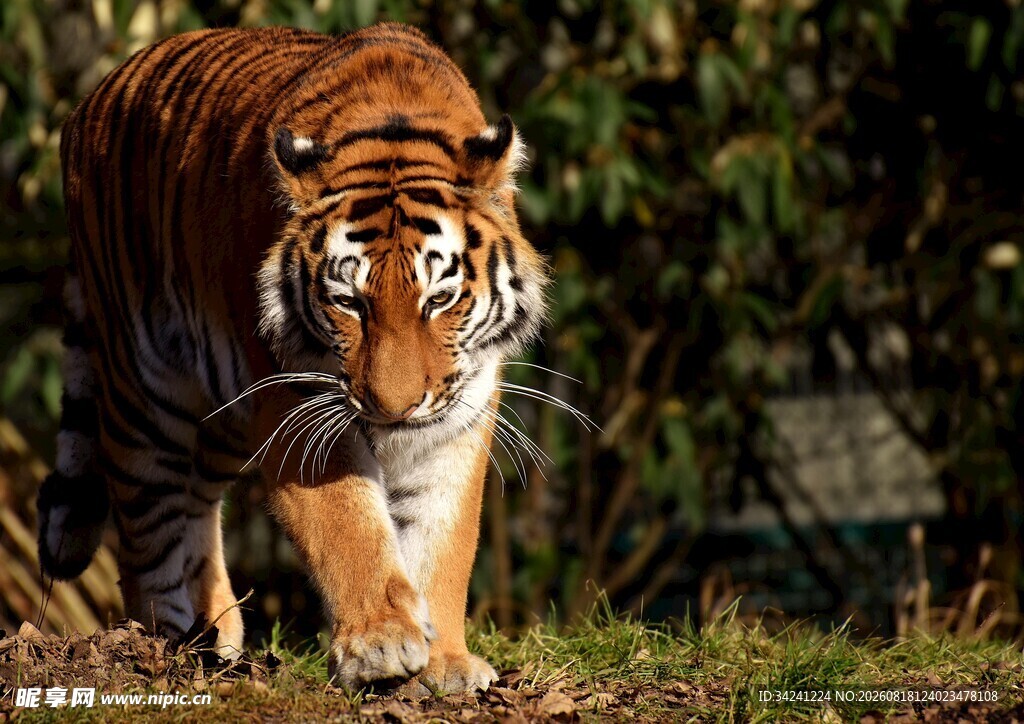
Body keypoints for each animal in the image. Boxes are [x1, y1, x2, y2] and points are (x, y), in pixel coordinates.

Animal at [36, 22, 548, 693]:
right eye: (348, 301)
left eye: (440, 298)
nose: (394, 408)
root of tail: (87, 102)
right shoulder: (291, 401)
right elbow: (345, 522)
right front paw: (381, 644)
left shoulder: (458, 410)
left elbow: (444, 536)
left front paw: (448, 665)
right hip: (145, 393)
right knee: (150, 525)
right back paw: (165, 650)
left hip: (221, 417)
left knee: (198, 506)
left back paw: (218, 635)